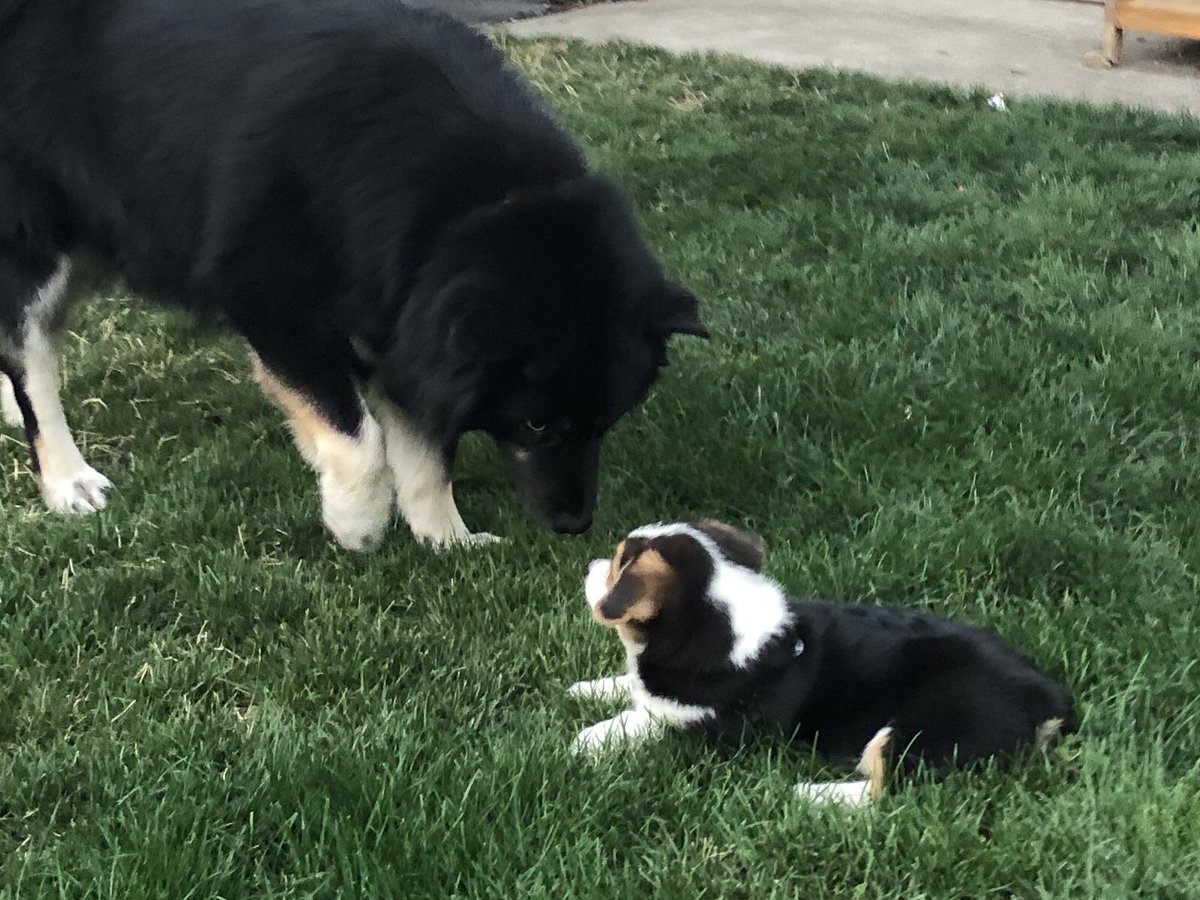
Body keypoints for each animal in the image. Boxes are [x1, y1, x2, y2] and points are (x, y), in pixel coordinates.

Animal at [0, 0, 700, 549]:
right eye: (534, 424)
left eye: (609, 420)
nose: (575, 524)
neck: (474, 205)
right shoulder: (275, 306)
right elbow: (363, 442)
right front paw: (356, 523)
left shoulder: (403, 317)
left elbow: (423, 452)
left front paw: (447, 539)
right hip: (39, 247)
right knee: (32, 358)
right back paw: (66, 478)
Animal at [566, 518, 1075, 806]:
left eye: (616, 567)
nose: (587, 567)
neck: (710, 621)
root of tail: (1053, 701)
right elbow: (631, 686)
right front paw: (584, 689)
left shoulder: (706, 725)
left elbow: (641, 721)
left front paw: (585, 741)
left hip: (922, 729)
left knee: (886, 795)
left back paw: (810, 796)